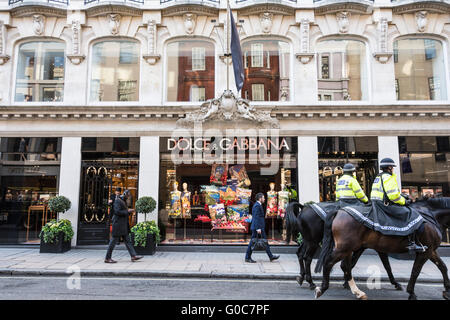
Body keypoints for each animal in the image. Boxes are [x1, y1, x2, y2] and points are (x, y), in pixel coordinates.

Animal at [312, 198, 450, 300]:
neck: (431, 216)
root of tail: (339, 211)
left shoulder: (431, 250)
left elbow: (442, 266)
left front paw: (447, 291)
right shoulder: (425, 251)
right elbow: (415, 271)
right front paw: (411, 293)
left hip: (348, 248)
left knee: (345, 266)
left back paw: (357, 292)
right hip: (344, 248)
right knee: (329, 262)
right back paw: (322, 289)